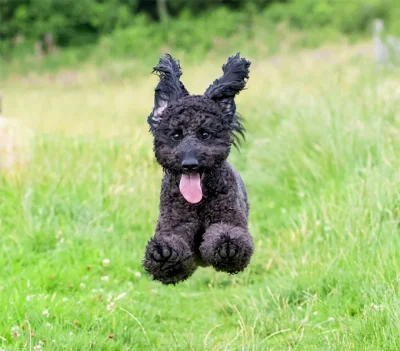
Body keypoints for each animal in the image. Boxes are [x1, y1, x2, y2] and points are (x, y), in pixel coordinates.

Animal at [142, 53, 253, 286]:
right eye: (176, 134)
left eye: (205, 134)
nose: (190, 164)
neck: (198, 204)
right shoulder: (175, 225)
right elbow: (173, 244)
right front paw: (163, 255)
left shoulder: (229, 218)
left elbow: (229, 234)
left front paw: (227, 246)